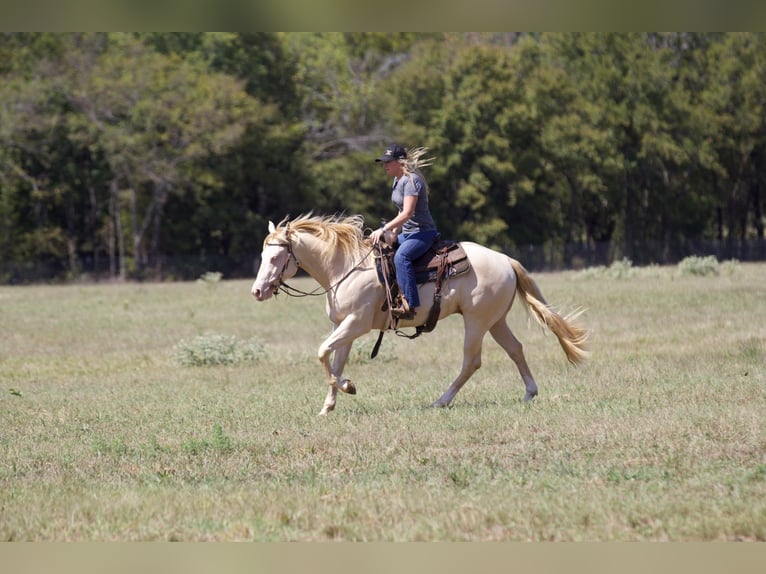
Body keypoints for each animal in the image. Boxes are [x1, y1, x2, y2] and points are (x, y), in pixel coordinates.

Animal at [249, 214, 592, 416]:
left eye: (277, 257)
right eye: (263, 254)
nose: (257, 291)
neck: (344, 267)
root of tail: (506, 260)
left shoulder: (356, 324)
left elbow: (322, 352)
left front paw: (348, 387)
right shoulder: (342, 326)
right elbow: (334, 360)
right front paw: (329, 405)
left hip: (476, 322)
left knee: (472, 361)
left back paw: (441, 400)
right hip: (495, 321)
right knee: (516, 349)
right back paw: (529, 393)